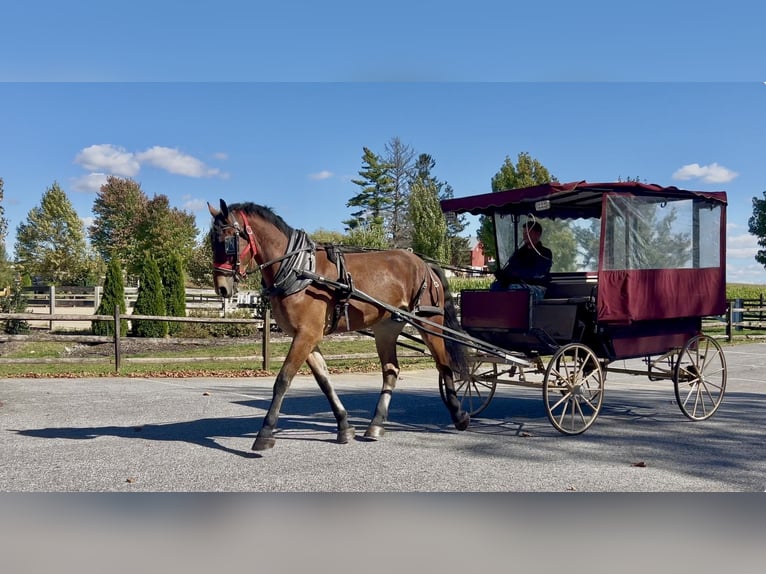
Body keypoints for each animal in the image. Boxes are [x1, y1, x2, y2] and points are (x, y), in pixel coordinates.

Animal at [207, 198, 470, 451]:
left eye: (228, 241)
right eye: (212, 240)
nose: (222, 288)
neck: (300, 269)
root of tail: (424, 264)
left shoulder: (306, 334)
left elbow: (283, 380)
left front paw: (265, 432)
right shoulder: (306, 337)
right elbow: (325, 381)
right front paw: (344, 425)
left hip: (430, 323)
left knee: (444, 365)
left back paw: (459, 415)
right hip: (386, 328)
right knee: (391, 371)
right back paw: (376, 424)